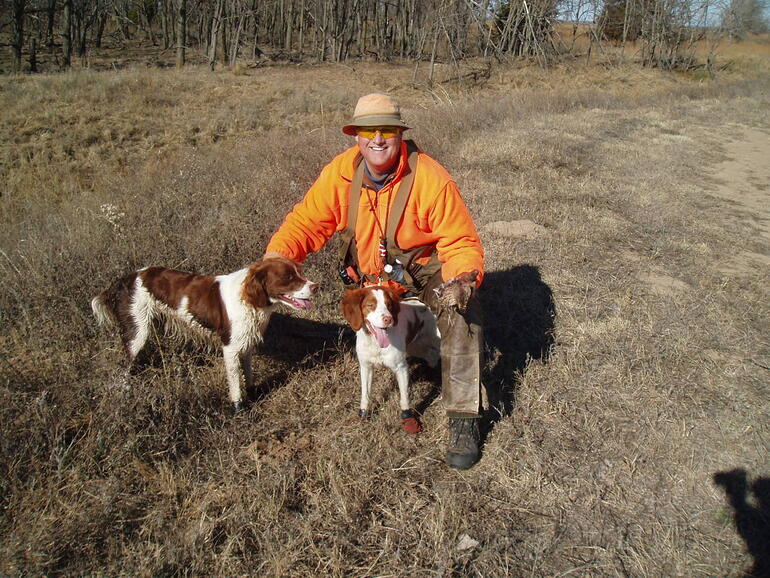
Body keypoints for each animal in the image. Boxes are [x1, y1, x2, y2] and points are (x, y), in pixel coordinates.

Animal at [91, 256, 316, 410]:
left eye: (299, 272)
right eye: (288, 277)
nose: (315, 286)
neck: (249, 298)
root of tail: (123, 280)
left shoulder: (246, 342)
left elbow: (249, 373)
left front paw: (254, 394)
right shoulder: (230, 347)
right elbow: (235, 382)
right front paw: (238, 407)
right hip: (136, 331)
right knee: (124, 364)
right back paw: (126, 393)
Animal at [340, 284, 440, 432]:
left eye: (389, 305)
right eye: (370, 305)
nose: (388, 319)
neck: (375, 343)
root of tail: (423, 303)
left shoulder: (401, 368)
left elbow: (404, 398)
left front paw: (408, 419)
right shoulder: (366, 366)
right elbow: (365, 395)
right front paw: (363, 415)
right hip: (415, 346)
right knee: (431, 355)